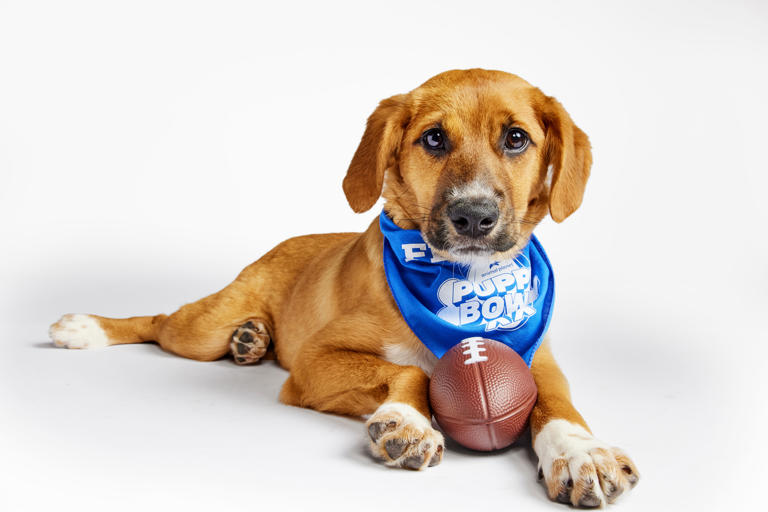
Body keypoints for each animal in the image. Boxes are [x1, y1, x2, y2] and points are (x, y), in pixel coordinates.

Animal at [51, 69, 640, 508]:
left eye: (516, 138)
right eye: (434, 138)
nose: (474, 217)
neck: (462, 284)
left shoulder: (541, 359)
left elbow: (556, 404)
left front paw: (582, 453)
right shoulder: (317, 360)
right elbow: (410, 372)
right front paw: (409, 421)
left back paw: (251, 341)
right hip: (202, 328)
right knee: (160, 323)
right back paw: (86, 328)